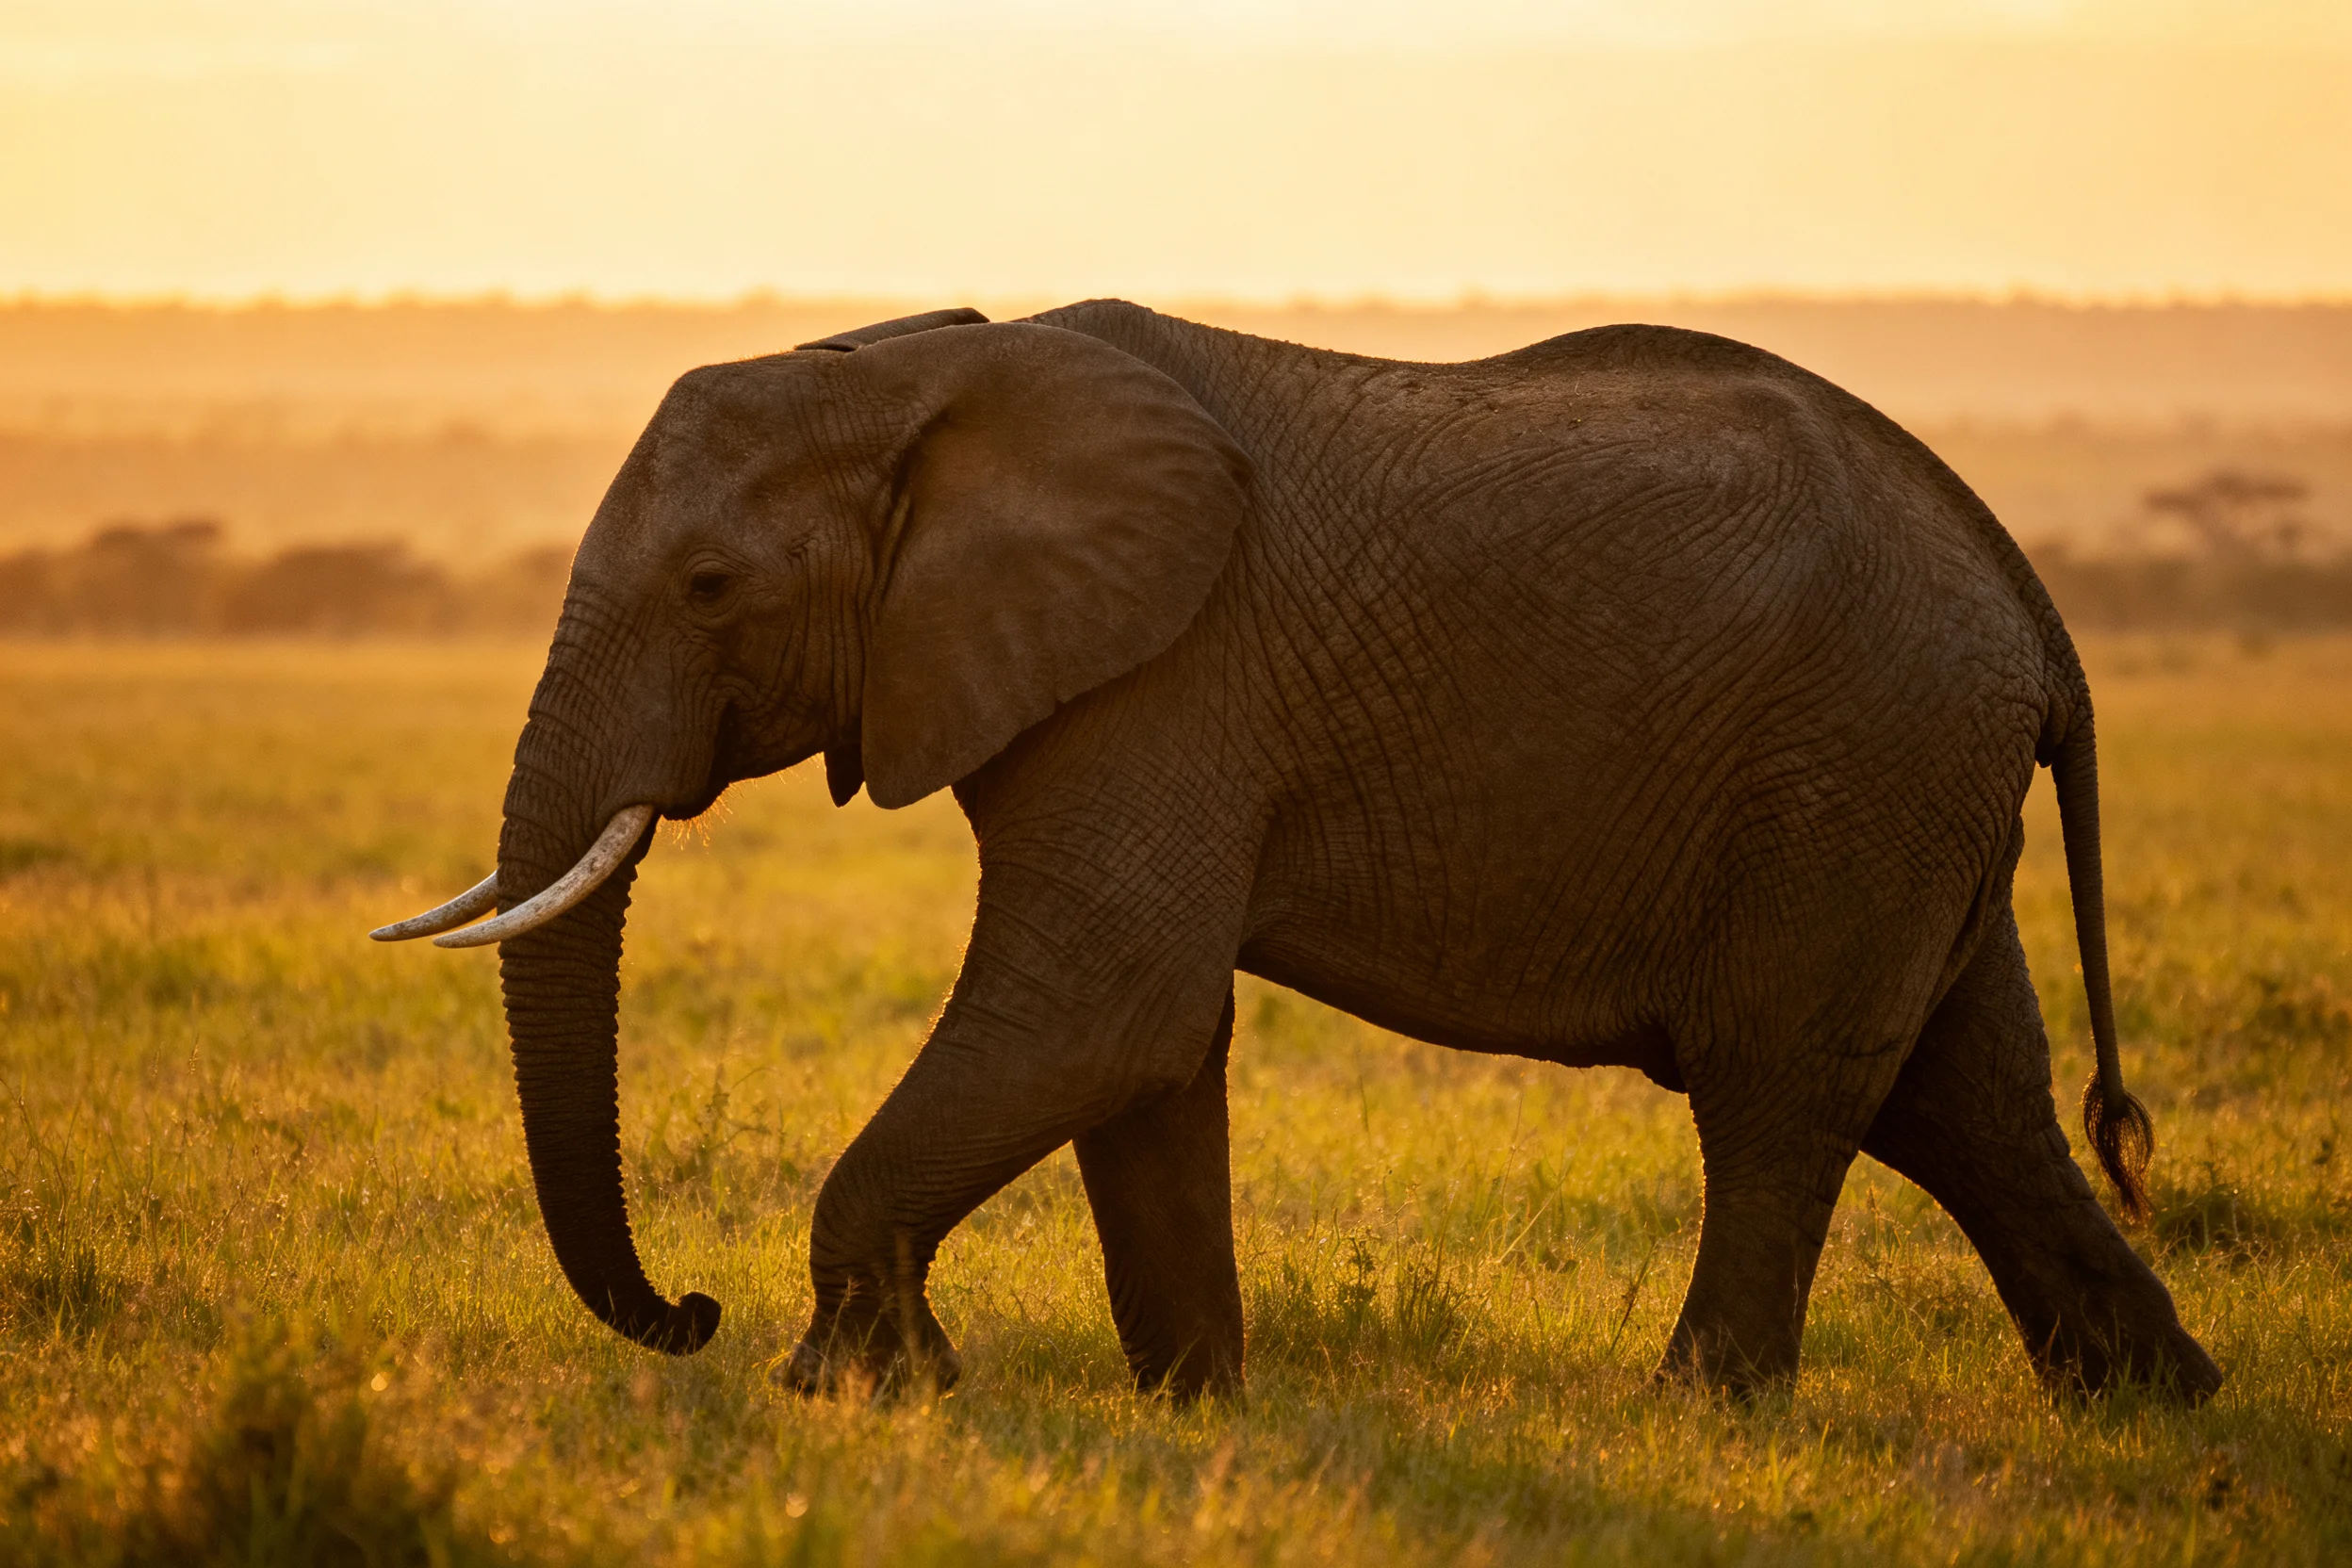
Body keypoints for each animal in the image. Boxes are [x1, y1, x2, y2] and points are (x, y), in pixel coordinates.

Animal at [375, 300, 2221, 1403]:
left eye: (709, 591)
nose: (684, 1314)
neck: (919, 366)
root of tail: (2030, 601)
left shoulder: (1168, 674)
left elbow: (1103, 1003)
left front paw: (855, 1390)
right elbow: (1145, 1044)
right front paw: (1194, 1406)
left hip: (1852, 770)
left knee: (1783, 1091)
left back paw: (1699, 1414)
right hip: (1905, 791)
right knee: (1964, 1098)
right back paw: (2151, 1403)